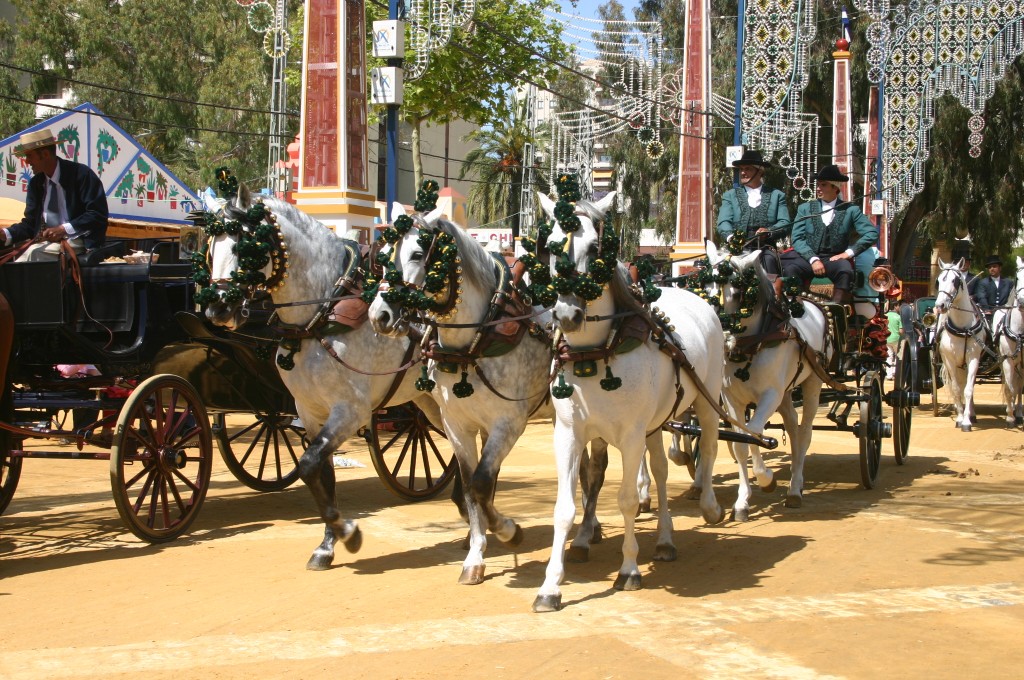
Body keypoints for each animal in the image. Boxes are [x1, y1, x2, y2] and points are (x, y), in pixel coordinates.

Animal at [203, 186, 436, 569]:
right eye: (210, 247)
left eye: (244, 247)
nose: (218, 308)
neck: (324, 310)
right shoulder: (310, 412)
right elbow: (322, 474)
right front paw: (328, 544)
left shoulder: (351, 411)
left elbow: (309, 464)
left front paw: (348, 533)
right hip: (429, 400)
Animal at [528, 191, 729, 610]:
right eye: (550, 247)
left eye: (595, 247)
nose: (567, 314)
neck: (595, 353)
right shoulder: (568, 434)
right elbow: (565, 508)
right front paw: (550, 586)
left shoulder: (632, 435)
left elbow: (626, 501)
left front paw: (629, 570)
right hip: (655, 425)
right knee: (662, 472)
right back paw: (666, 540)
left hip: (705, 400)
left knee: (709, 447)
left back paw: (708, 505)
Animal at [704, 241, 831, 512]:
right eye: (705, 286)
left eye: (738, 293)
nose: (716, 330)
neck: (752, 343)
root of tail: (813, 303)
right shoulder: (731, 399)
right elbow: (740, 442)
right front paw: (742, 500)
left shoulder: (770, 396)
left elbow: (754, 433)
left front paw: (766, 479)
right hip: (786, 392)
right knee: (793, 426)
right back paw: (796, 482)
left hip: (812, 382)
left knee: (805, 433)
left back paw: (794, 488)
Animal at [933, 258, 987, 432]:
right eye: (938, 281)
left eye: (955, 281)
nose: (940, 306)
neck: (963, 328)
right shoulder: (949, 360)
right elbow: (957, 389)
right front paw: (959, 418)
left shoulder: (973, 358)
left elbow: (968, 389)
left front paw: (967, 421)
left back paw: (971, 414)